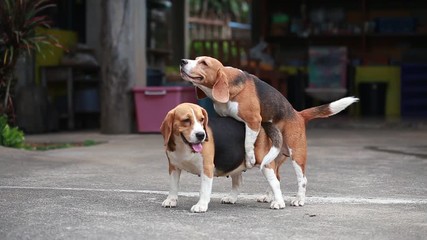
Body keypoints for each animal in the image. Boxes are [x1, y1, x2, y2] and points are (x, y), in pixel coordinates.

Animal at [179, 55, 360, 206]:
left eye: (204, 63)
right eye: (196, 59)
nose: (183, 61)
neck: (230, 85)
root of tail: (298, 114)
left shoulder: (253, 121)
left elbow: (248, 143)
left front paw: (250, 158)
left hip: (297, 154)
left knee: (302, 180)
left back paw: (299, 199)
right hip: (276, 156)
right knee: (276, 177)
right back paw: (269, 196)